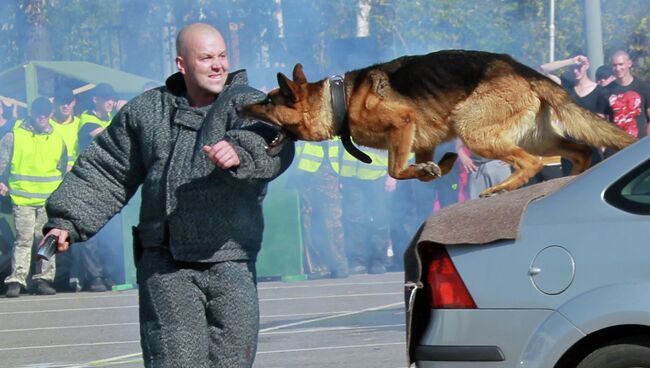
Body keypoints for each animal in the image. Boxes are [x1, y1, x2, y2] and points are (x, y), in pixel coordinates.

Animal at [237, 50, 632, 197]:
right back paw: (572, 180)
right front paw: (438, 166)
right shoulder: (419, 140)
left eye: (268, 101)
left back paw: (503, 188)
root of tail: (528, 72)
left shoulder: (403, 122)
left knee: (531, 163)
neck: (338, 102)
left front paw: (428, 169)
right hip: (538, 138)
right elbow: (420, 167)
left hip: (474, 128)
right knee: (579, 151)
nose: (240, 108)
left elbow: (395, 170)